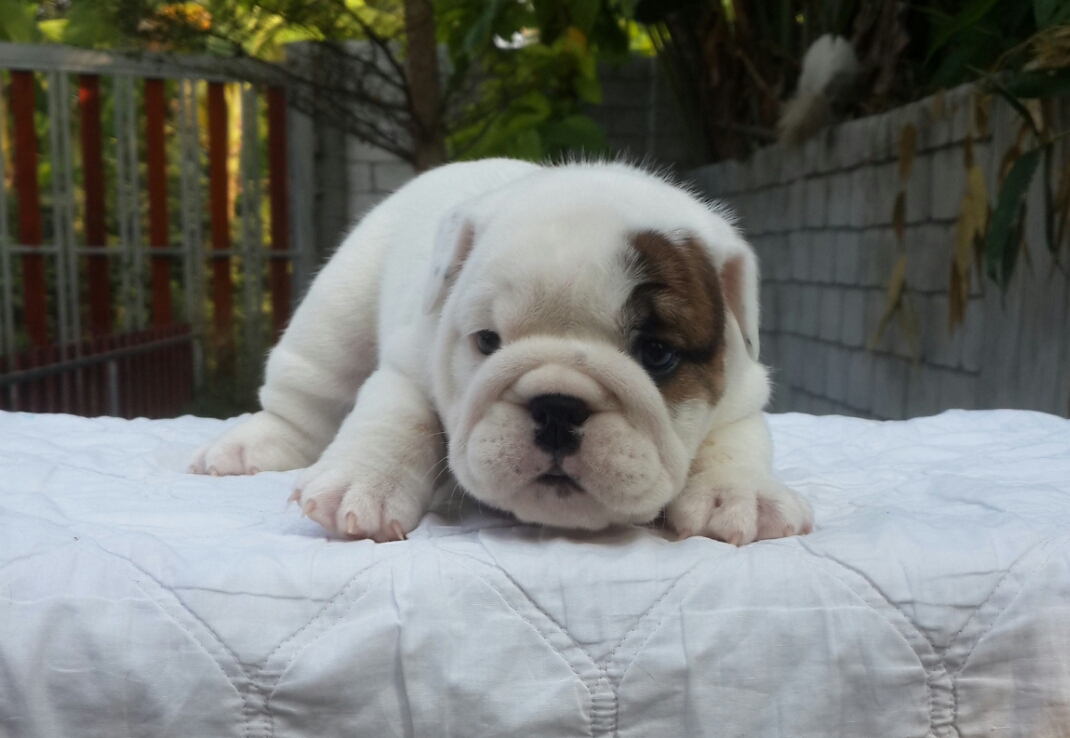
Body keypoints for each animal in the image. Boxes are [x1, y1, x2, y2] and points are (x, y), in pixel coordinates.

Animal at [189, 159, 813, 544]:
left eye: (658, 354)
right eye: (488, 342)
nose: (558, 406)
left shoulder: (741, 397)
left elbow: (734, 443)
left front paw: (739, 495)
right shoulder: (408, 364)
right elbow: (395, 419)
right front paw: (362, 481)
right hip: (335, 314)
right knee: (304, 395)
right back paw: (248, 446)